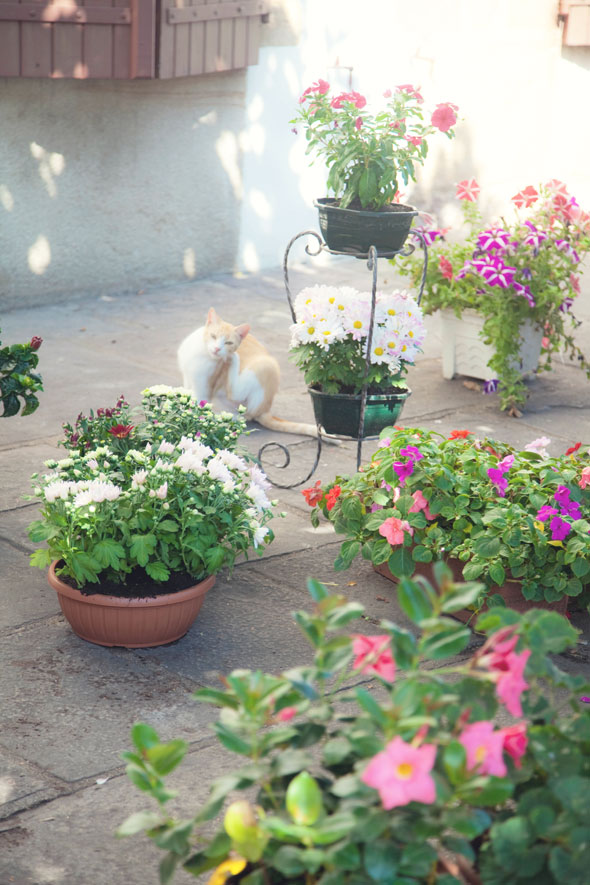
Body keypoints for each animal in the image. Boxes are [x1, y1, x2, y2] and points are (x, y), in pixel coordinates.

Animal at [176, 308, 332, 438]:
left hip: (264, 366)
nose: (217, 349)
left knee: (239, 404)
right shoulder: (188, 378)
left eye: (228, 343)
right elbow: (188, 395)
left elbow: (198, 404)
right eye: (213, 336)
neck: (202, 353)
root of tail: (265, 410)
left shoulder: (205, 387)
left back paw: (234, 360)